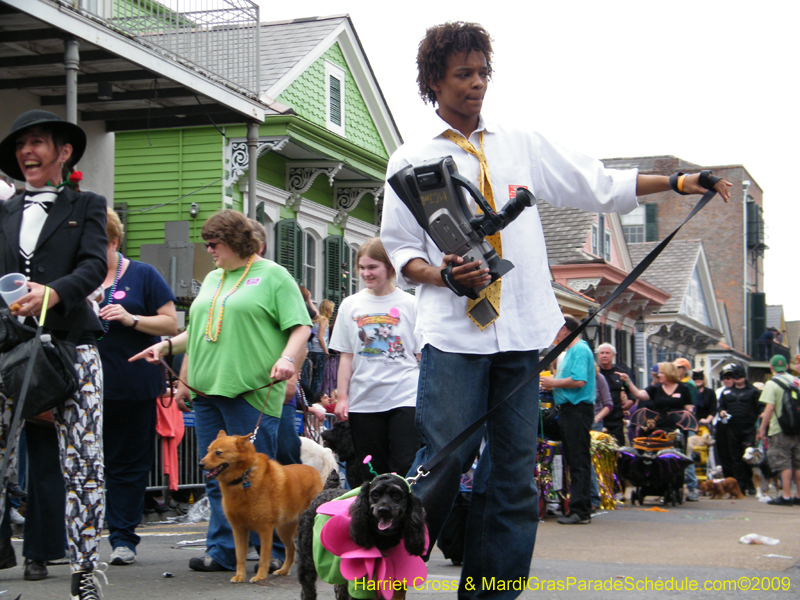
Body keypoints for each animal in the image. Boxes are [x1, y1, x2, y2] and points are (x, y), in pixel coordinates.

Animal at [199, 428, 322, 584]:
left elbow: (264, 557)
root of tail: (314, 472)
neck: (243, 478)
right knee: (291, 550)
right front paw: (239, 576)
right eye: (208, 450)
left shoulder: (265, 529)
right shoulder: (238, 530)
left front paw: (260, 576)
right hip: (284, 530)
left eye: (218, 452)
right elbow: (240, 557)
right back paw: (283, 570)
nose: (200, 464)